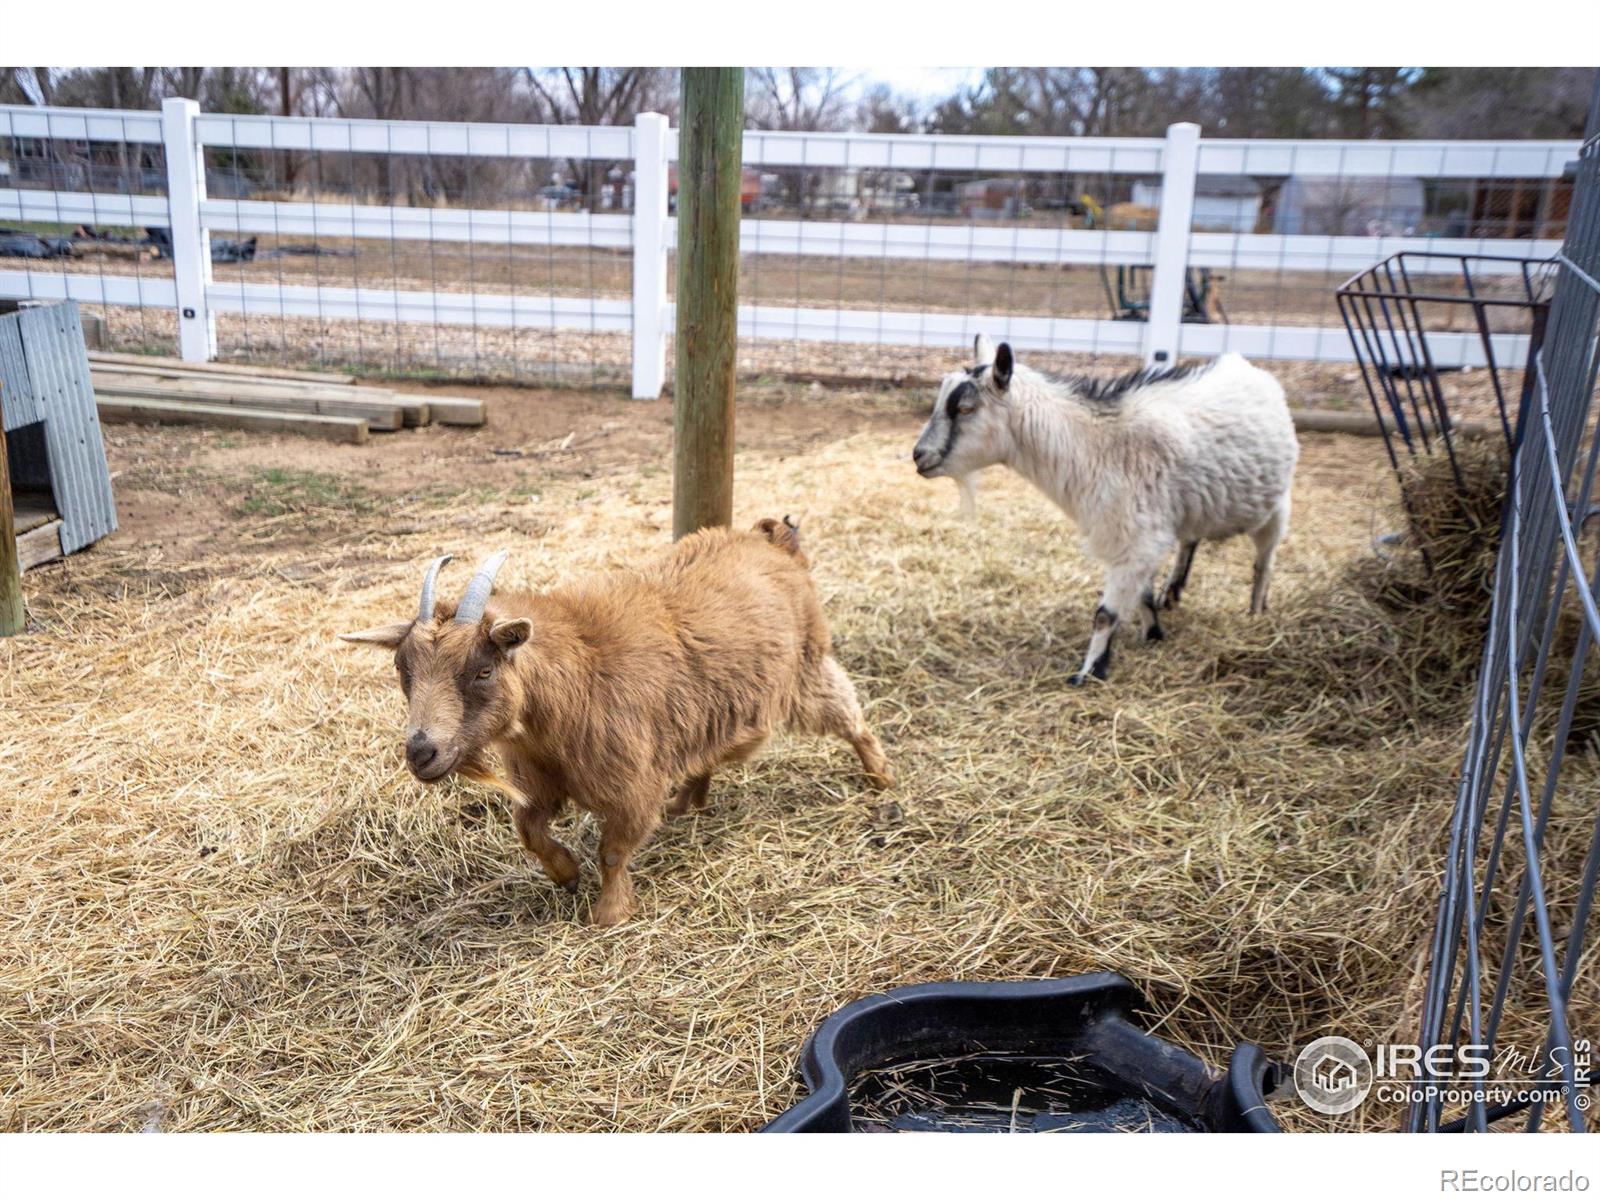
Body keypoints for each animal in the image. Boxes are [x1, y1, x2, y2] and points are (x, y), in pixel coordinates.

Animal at [340, 521, 889, 928]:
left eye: (482, 670)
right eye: (402, 670)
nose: (421, 752)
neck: (578, 676)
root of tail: (770, 540)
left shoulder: (632, 787)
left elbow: (612, 851)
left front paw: (609, 914)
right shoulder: (541, 782)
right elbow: (528, 829)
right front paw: (565, 874)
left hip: (807, 668)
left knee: (850, 715)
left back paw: (881, 777)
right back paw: (687, 801)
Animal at [915, 339, 1299, 684]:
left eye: (965, 409)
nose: (919, 455)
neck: (1094, 446)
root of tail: (1247, 367)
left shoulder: (1136, 533)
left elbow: (1104, 614)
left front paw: (1088, 672)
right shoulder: (1133, 534)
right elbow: (1142, 593)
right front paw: (1152, 632)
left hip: (1276, 505)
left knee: (1264, 561)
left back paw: (1255, 610)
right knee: (1190, 540)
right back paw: (1173, 591)